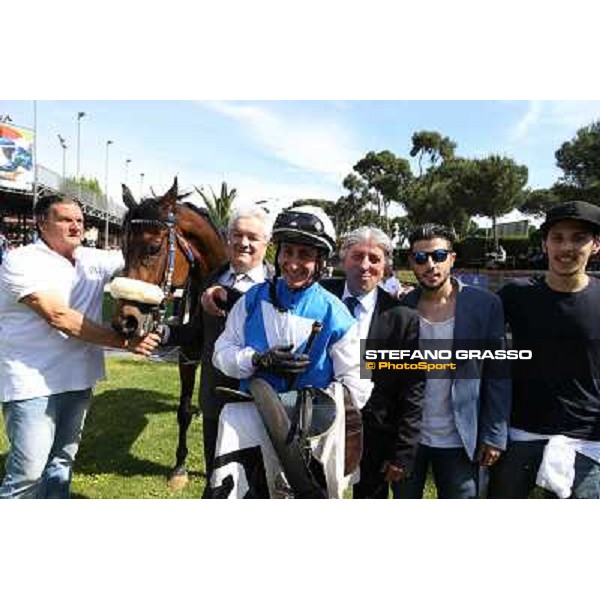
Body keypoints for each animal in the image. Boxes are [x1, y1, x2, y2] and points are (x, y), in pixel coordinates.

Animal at [112, 177, 227, 488]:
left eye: (153, 248)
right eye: (122, 248)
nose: (125, 321)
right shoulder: (187, 356)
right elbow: (184, 410)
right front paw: (179, 467)